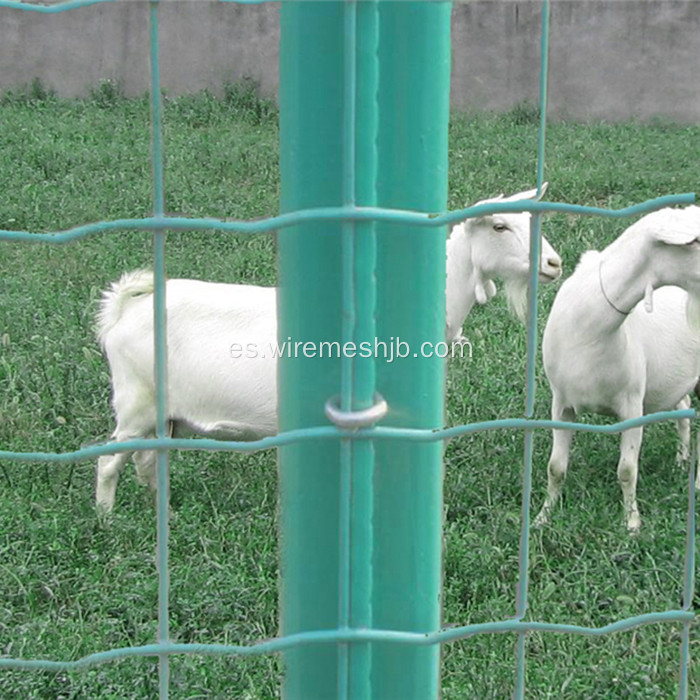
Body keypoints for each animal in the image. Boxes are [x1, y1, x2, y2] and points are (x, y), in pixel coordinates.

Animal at [94, 189, 564, 512]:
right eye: (500, 227)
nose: (554, 264)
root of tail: (122, 310)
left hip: (163, 417)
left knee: (146, 463)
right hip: (135, 402)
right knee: (108, 463)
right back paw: (108, 521)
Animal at [536, 205, 700, 532]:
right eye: (696, 241)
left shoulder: (632, 404)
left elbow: (627, 469)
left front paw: (632, 523)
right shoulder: (561, 403)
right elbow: (555, 467)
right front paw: (543, 517)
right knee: (684, 406)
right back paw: (681, 461)